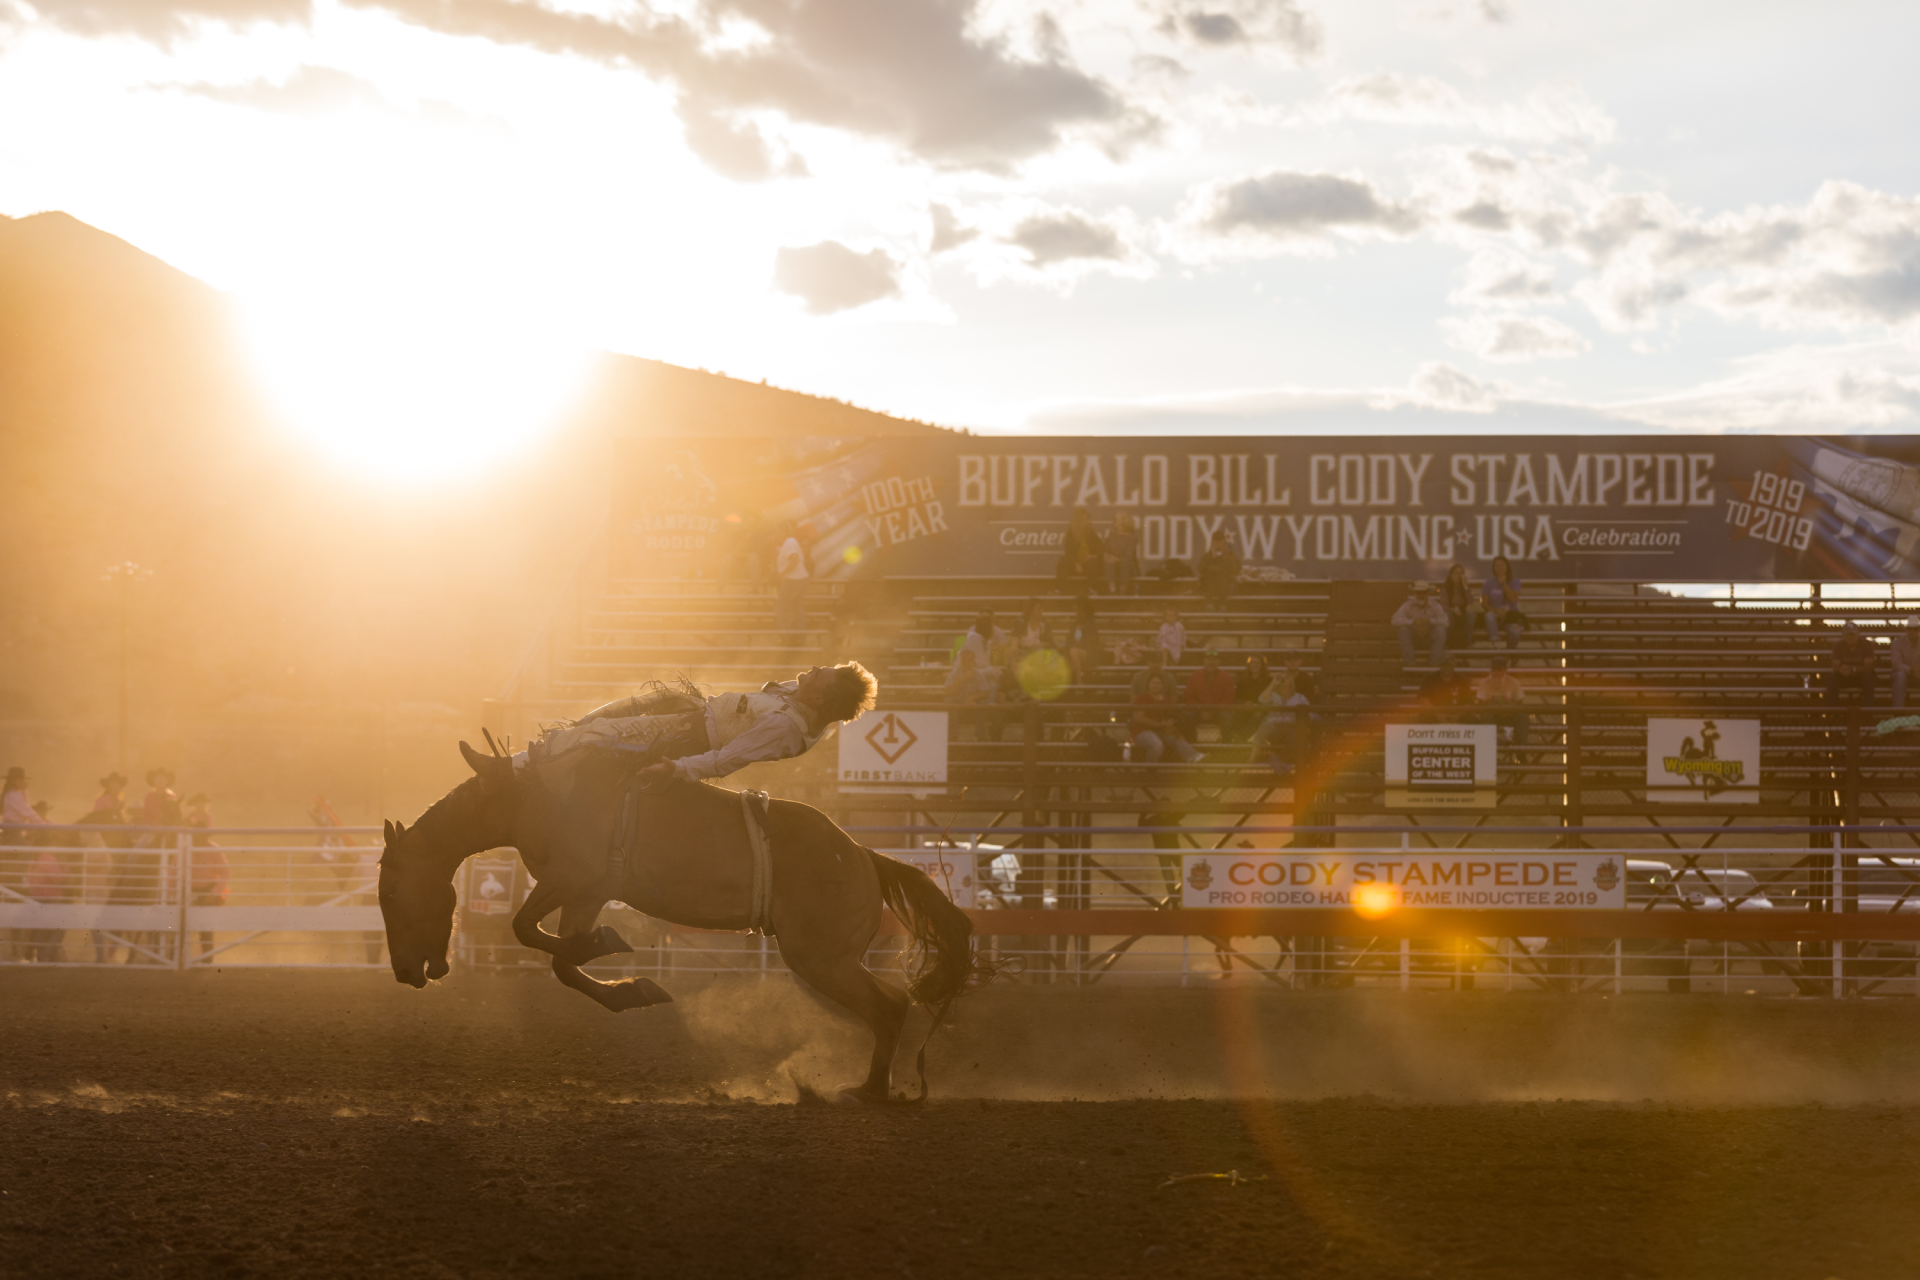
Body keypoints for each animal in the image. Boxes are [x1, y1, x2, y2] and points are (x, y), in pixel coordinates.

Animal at [372, 740, 983, 1105]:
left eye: (394, 892)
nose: (403, 971)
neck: (531, 796)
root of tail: (864, 856)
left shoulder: (573, 877)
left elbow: (526, 931)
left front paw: (607, 947)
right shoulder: (589, 891)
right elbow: (565, 962)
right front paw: (631, 984)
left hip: (820, 959)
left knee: (889, 1005)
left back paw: (867, 1092)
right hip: (825, 960)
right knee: (890, 1006)